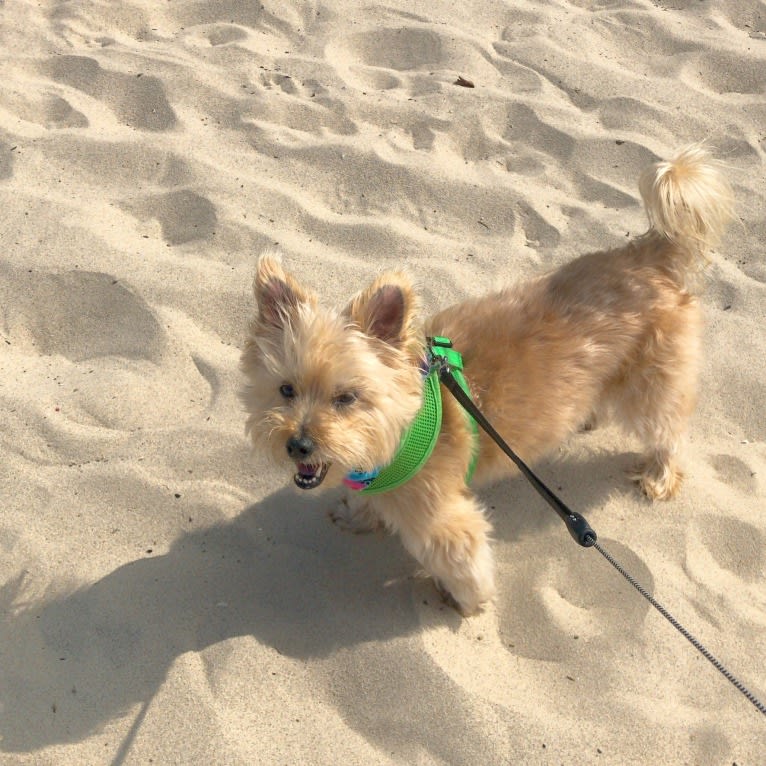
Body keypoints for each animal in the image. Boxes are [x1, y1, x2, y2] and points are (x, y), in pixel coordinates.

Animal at [240, 147, 732, 616]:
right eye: (286, 390)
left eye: (346, 398)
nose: (299, 445)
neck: (406, 427)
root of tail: (645, 255)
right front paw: (358, 516)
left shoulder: (443, 522)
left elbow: (464, 563)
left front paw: (467, 603)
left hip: (651, 387)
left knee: (666, 431)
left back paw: (659, 475)